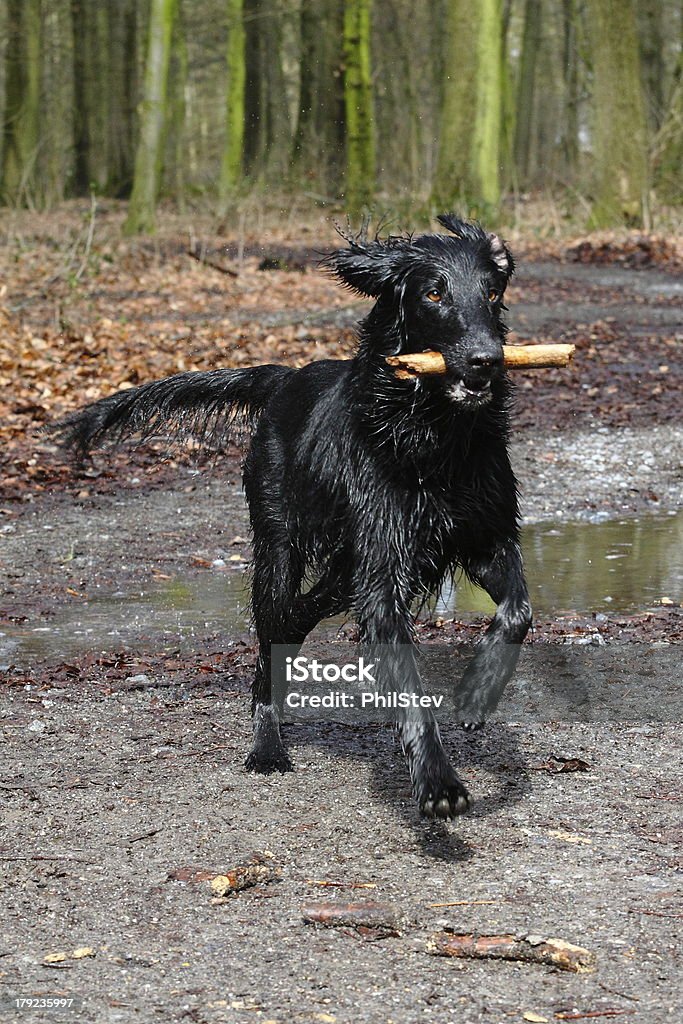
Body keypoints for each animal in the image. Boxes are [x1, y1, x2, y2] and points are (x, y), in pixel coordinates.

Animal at [54, 214, 532, 815]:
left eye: (491, 293)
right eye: (433, 293)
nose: (485, 361)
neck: (432, 437)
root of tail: (284, 378)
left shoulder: (485, 537)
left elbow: (518, 611)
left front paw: (476, 693)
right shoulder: (382, 573)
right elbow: (409, 687)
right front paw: (438, 783)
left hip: (341, 568)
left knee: (297, 617)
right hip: (278, 549)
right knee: (270, 636)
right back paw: (267, 745)